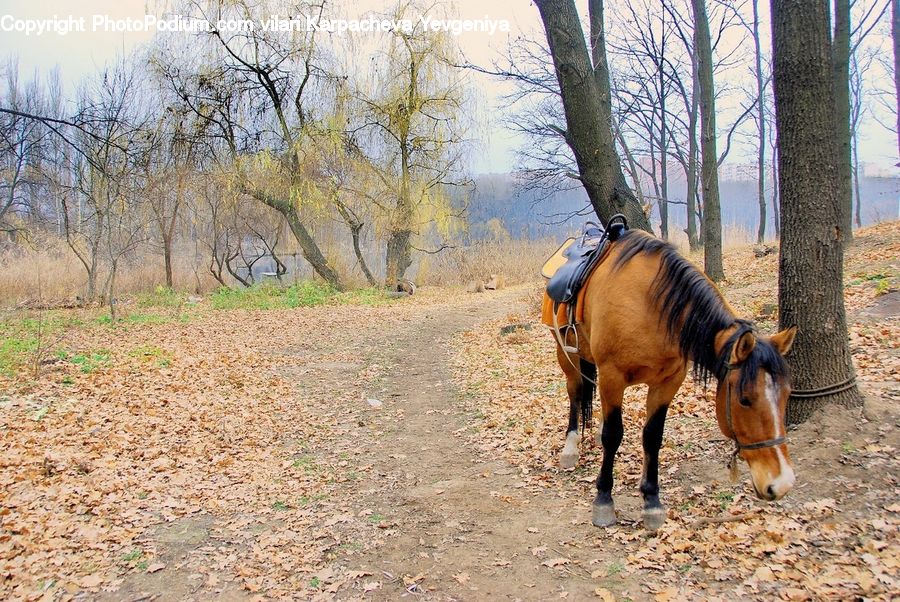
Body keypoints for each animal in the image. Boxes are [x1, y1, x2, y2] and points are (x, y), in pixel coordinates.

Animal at [552, 227, 800, 528]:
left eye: (787, 395)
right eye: (744, 400)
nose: (781, 483)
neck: (651, 306)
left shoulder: (668, 381)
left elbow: (652, 436)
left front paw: (652, 501)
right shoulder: (613, 376)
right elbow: (613, 434)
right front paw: (603, 499)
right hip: (566, 354)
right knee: (575, 393)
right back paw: (570, 447)